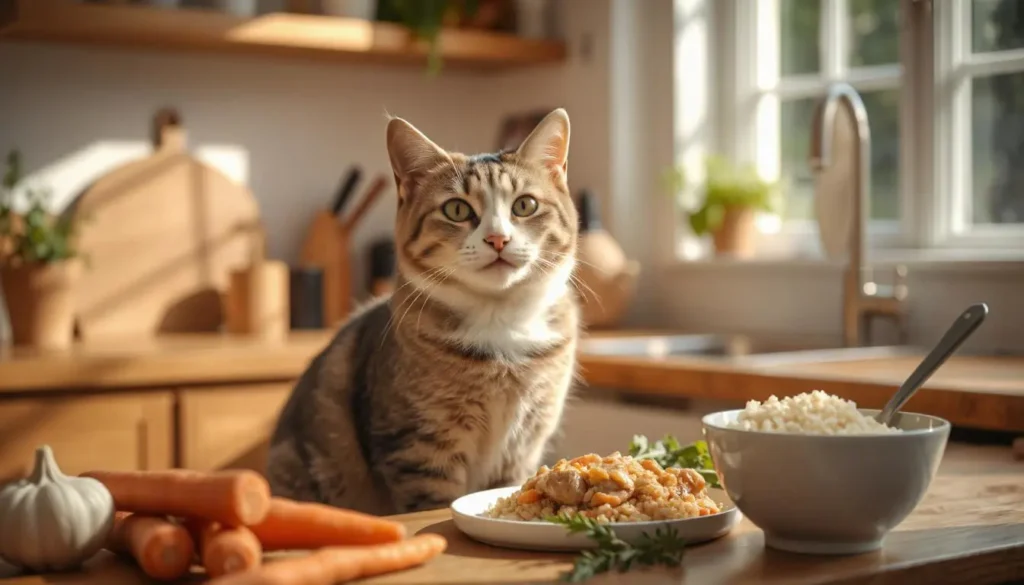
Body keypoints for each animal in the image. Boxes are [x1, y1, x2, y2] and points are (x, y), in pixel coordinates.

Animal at [268, 107, 581, 514]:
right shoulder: (418, 447)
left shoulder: (524, 446)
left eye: (524, 205)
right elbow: (433, 501)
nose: (498, 239)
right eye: (457, 209)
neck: (499, 326)